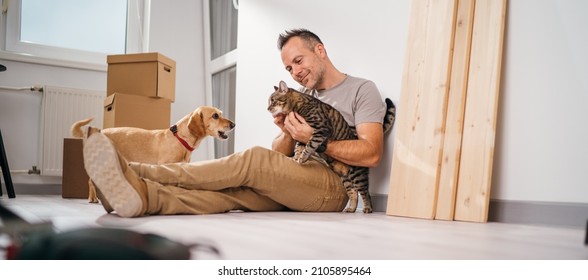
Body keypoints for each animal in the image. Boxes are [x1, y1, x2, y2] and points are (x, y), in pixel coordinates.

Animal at [73, 106, 237, 207]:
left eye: (221, 113)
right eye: (215, 115)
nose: (234, 124)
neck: (180, 138)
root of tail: (99, 132)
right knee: (91, 181)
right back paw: (93, 198)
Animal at [268, 80, 398, 212]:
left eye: (273, 100)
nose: (268, 108)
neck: (297, 106)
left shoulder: (321, 128)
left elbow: (310, 145)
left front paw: (302, 157)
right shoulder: (301, 137)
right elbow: (299, 148)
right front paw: (297, 158)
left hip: (358, 174)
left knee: (365, 193)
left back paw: (367, 208)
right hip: (346, 178)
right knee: (353, 193)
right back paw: (351, 209)